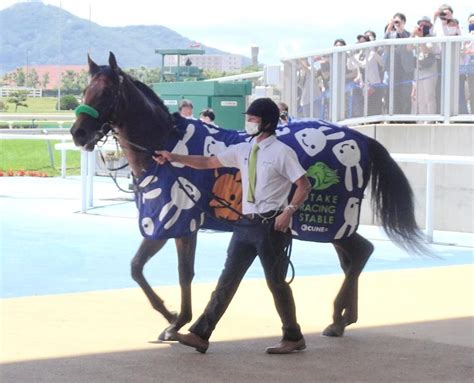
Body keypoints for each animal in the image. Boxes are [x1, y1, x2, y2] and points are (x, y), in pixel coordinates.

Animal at [71, 53, 430, 342]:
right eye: (85, 91)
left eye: (106, 93)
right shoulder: (173, 223)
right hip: (335, 228)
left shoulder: (174, 219)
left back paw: (340, 316)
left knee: (360, 253)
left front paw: (173, 318)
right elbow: (159, 270)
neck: (164, 146)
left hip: (327, 222)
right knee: (355, 256)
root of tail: (361, 138)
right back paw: (342, 319)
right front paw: (176, 319)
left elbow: (158, 270)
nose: (78, 133)